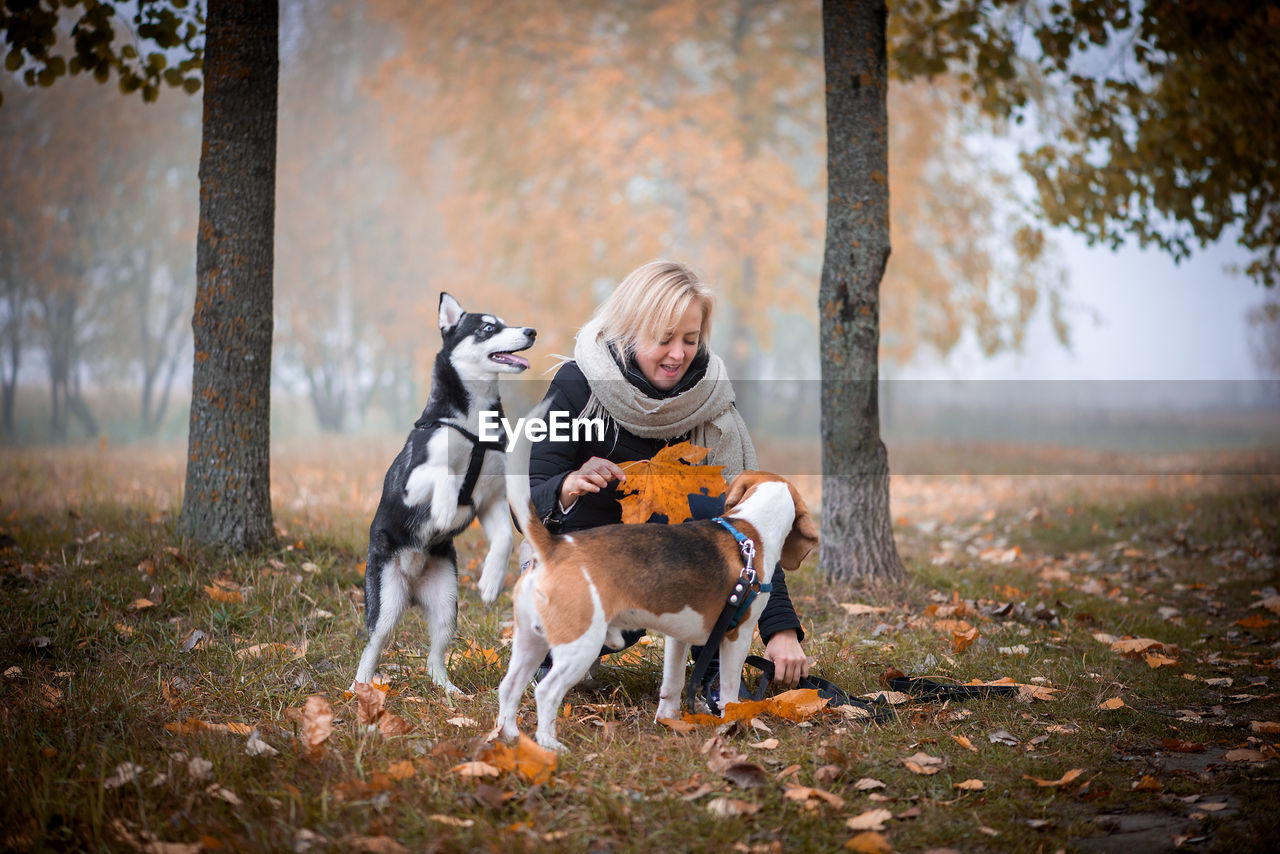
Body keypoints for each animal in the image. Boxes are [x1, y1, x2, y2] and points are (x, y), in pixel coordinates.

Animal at [358, 294, 537, 696]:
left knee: (434, 655)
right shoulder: (412, 481)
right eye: (488, 327)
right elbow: (445, 474)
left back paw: (447, 690)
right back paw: (358, 689)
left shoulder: (492, 498)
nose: (531, 331)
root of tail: (411, 583)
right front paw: (442, 507)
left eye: (506, 322)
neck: (474, 425)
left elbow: (504, 538)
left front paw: (491, 580)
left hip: (446, 604)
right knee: (371, 647)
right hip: (386, 601)